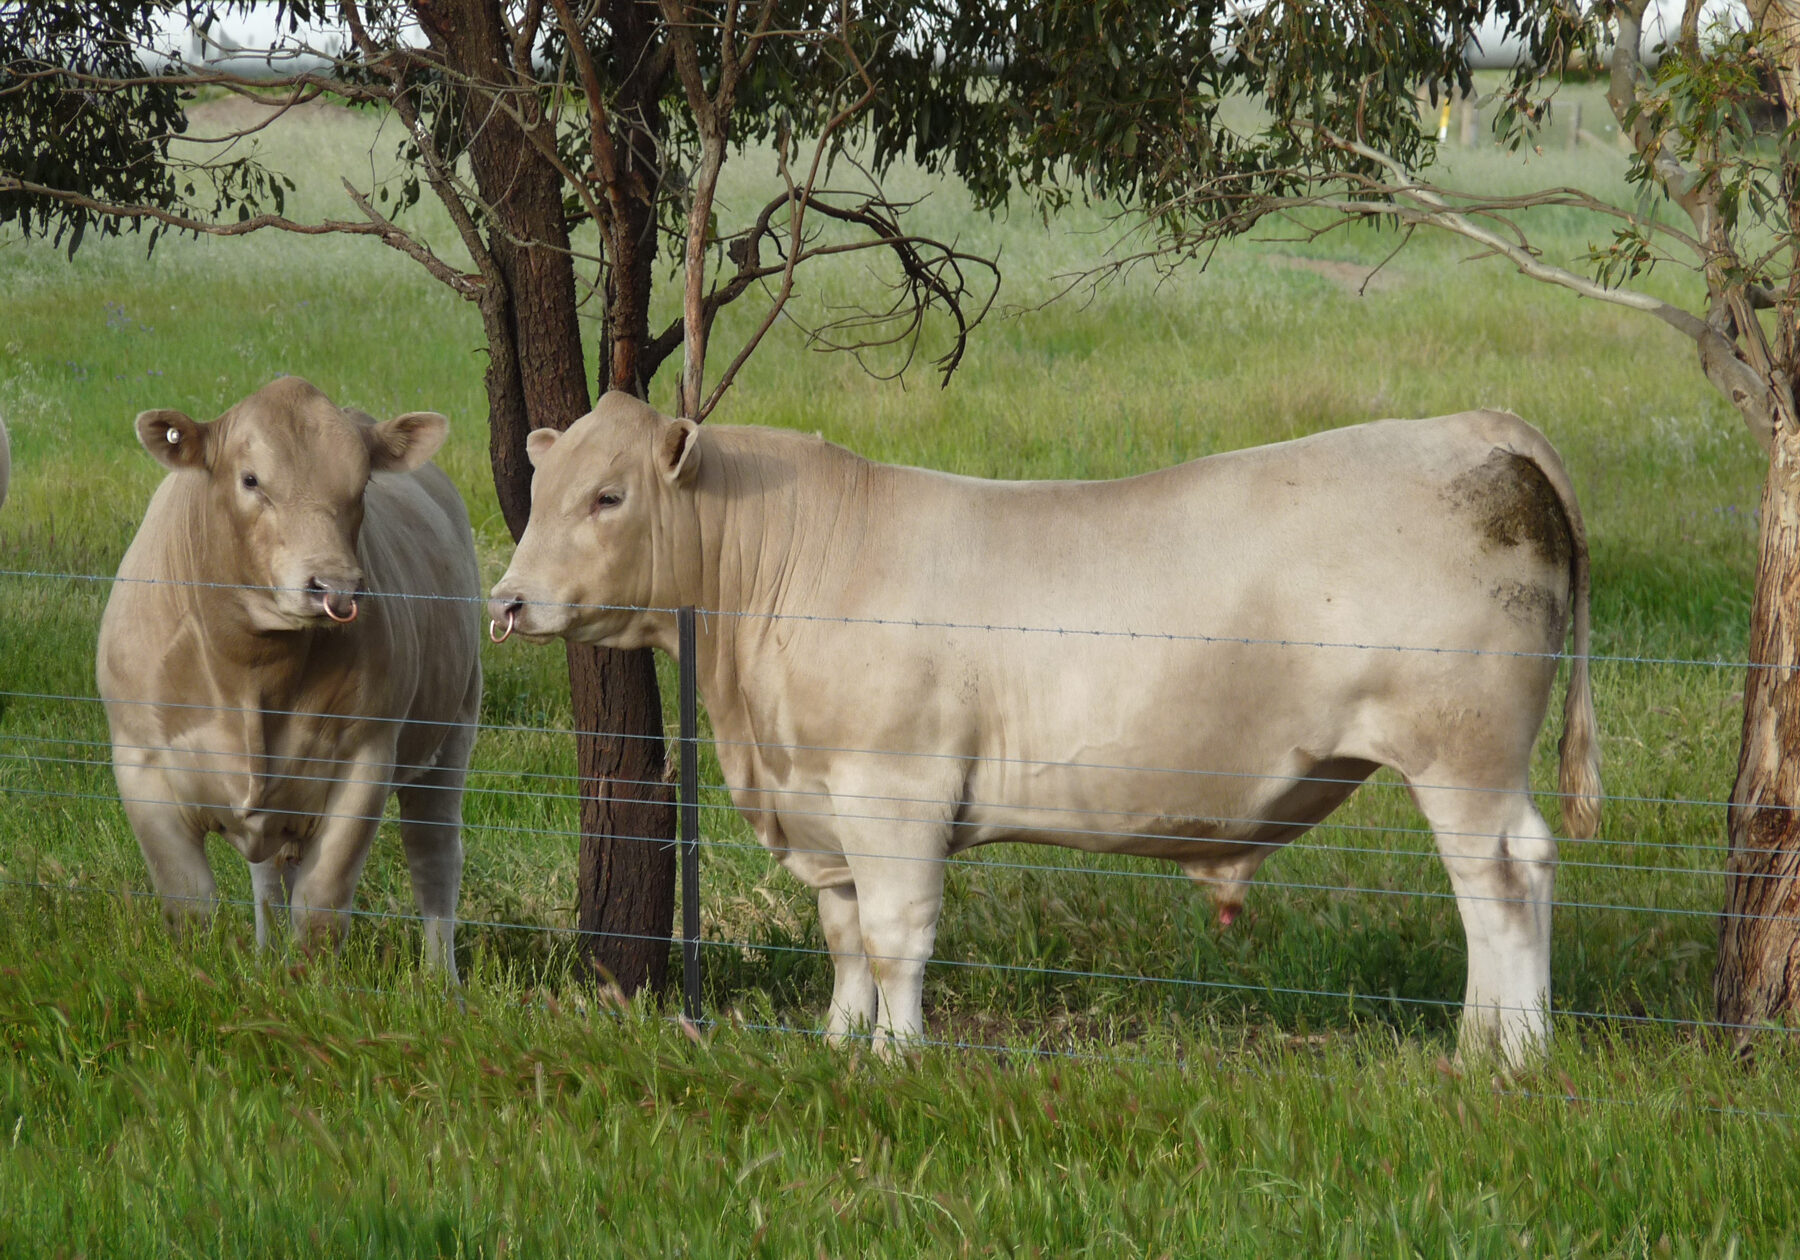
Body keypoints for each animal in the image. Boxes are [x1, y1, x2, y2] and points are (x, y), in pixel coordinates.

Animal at [97, 374, 478, 972]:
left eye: (361, 483)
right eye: (250, 479)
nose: (336, 586)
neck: (248, 668)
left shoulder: (366, 760)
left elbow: (320, 908)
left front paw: (309, 982)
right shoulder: (141, 764)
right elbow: (191, 903)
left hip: (454, 726)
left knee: (434, 857)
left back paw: (443, 983)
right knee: (269, 873)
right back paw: (264, 952)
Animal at [486, 394, 1598, 1065]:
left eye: (609, 495)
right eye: (537, 490)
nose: (505, 601)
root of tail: (1472, 426)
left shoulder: (895, 790)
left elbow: (895, 936)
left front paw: (897, 1057)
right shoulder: (821, 805)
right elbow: (844, 934)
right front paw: (838, 1044)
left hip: (1462, 753)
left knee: (1502, 881)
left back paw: (1503, 1056)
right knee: (1511, 880)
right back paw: (1487, 1044)